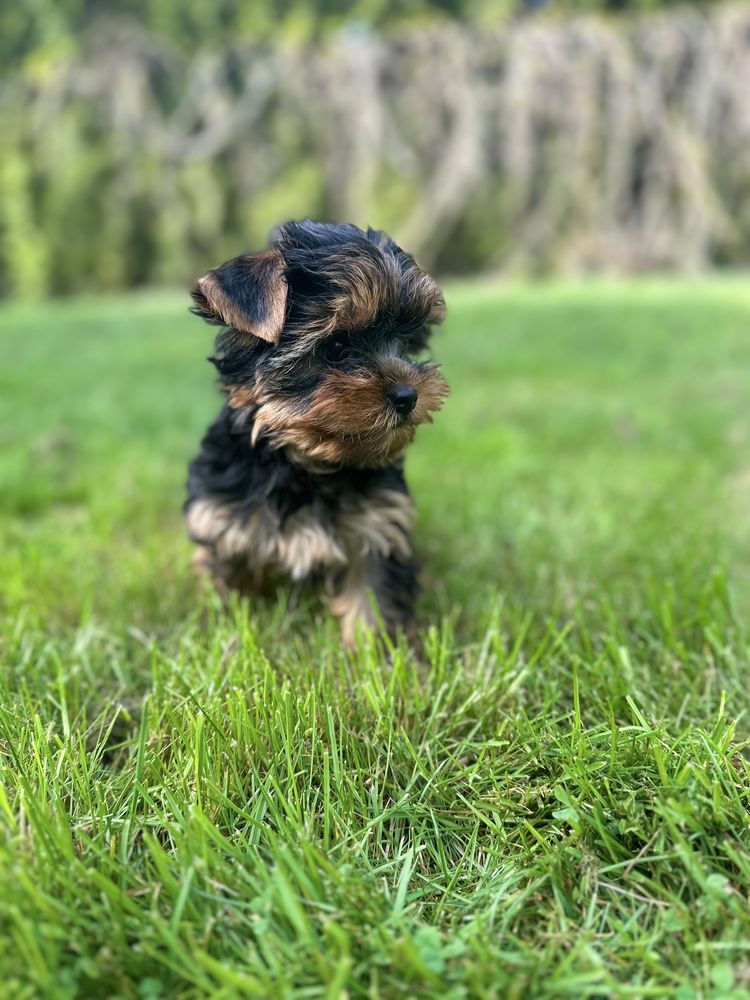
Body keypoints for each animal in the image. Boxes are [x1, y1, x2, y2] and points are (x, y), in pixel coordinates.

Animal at [186, 222, 450, 644]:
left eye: (407, 343)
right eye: (337, 345)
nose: (408, 395)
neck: (304, 463)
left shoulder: (376, 526)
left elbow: (374, 598)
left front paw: (379, 653)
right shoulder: (224, 520)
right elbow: (226, 588)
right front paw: (221, 634)